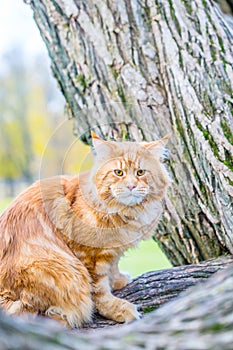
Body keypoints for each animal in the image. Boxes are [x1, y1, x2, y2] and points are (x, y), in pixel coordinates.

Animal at [0, 131, 170, 328]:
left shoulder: (112, 250)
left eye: (140, 172)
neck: (124, 212)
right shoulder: (87, 255)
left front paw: (118, 280)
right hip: (57, 270)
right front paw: (117, 309)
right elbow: (99, 291)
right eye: (118, 173)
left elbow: (113, 267)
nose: (131, 186)